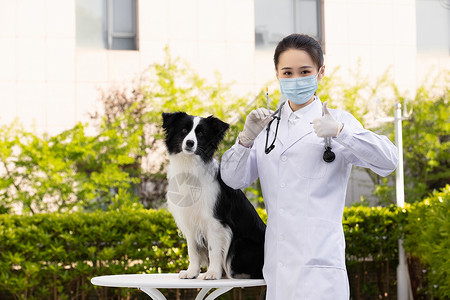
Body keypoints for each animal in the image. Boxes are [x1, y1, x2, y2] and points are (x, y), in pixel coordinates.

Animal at [163, 112, 266, 278]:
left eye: (200, 134)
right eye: (184, 130)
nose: (190, 143)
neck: (190, 167)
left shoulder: (215, 222)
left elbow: (214, 250)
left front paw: (212, 273)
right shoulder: (190, 221)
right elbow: (193, 250)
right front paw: (192, 272)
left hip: (240, 243)